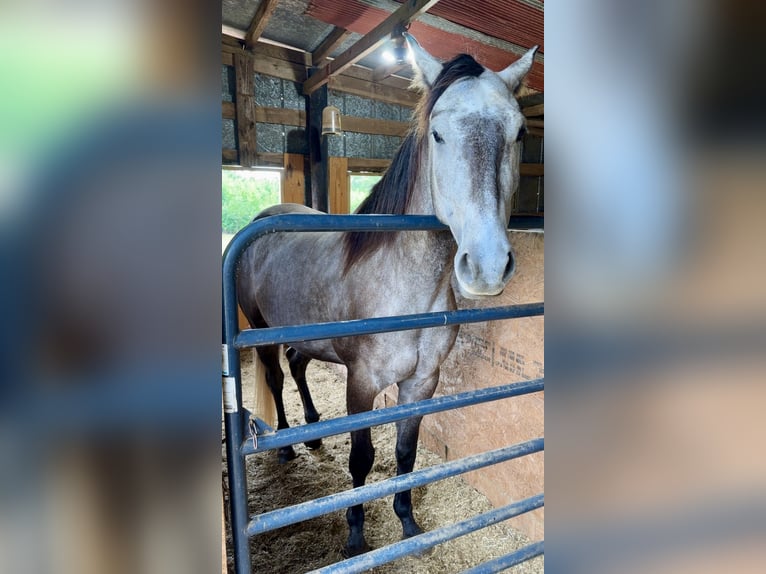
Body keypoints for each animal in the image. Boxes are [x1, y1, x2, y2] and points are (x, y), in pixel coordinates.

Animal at [236, 35, 537, 557]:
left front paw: (409, 525)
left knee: (297, 365)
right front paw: (356, 535)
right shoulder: (361, 384)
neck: (405, 289)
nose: (486, 265)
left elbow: (404, 452)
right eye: (437, 134)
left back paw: (314, 432)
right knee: (275, 376)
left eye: (519, 132)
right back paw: (288, 445)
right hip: (261, 330)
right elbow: (362, 457)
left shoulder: (420, 384)